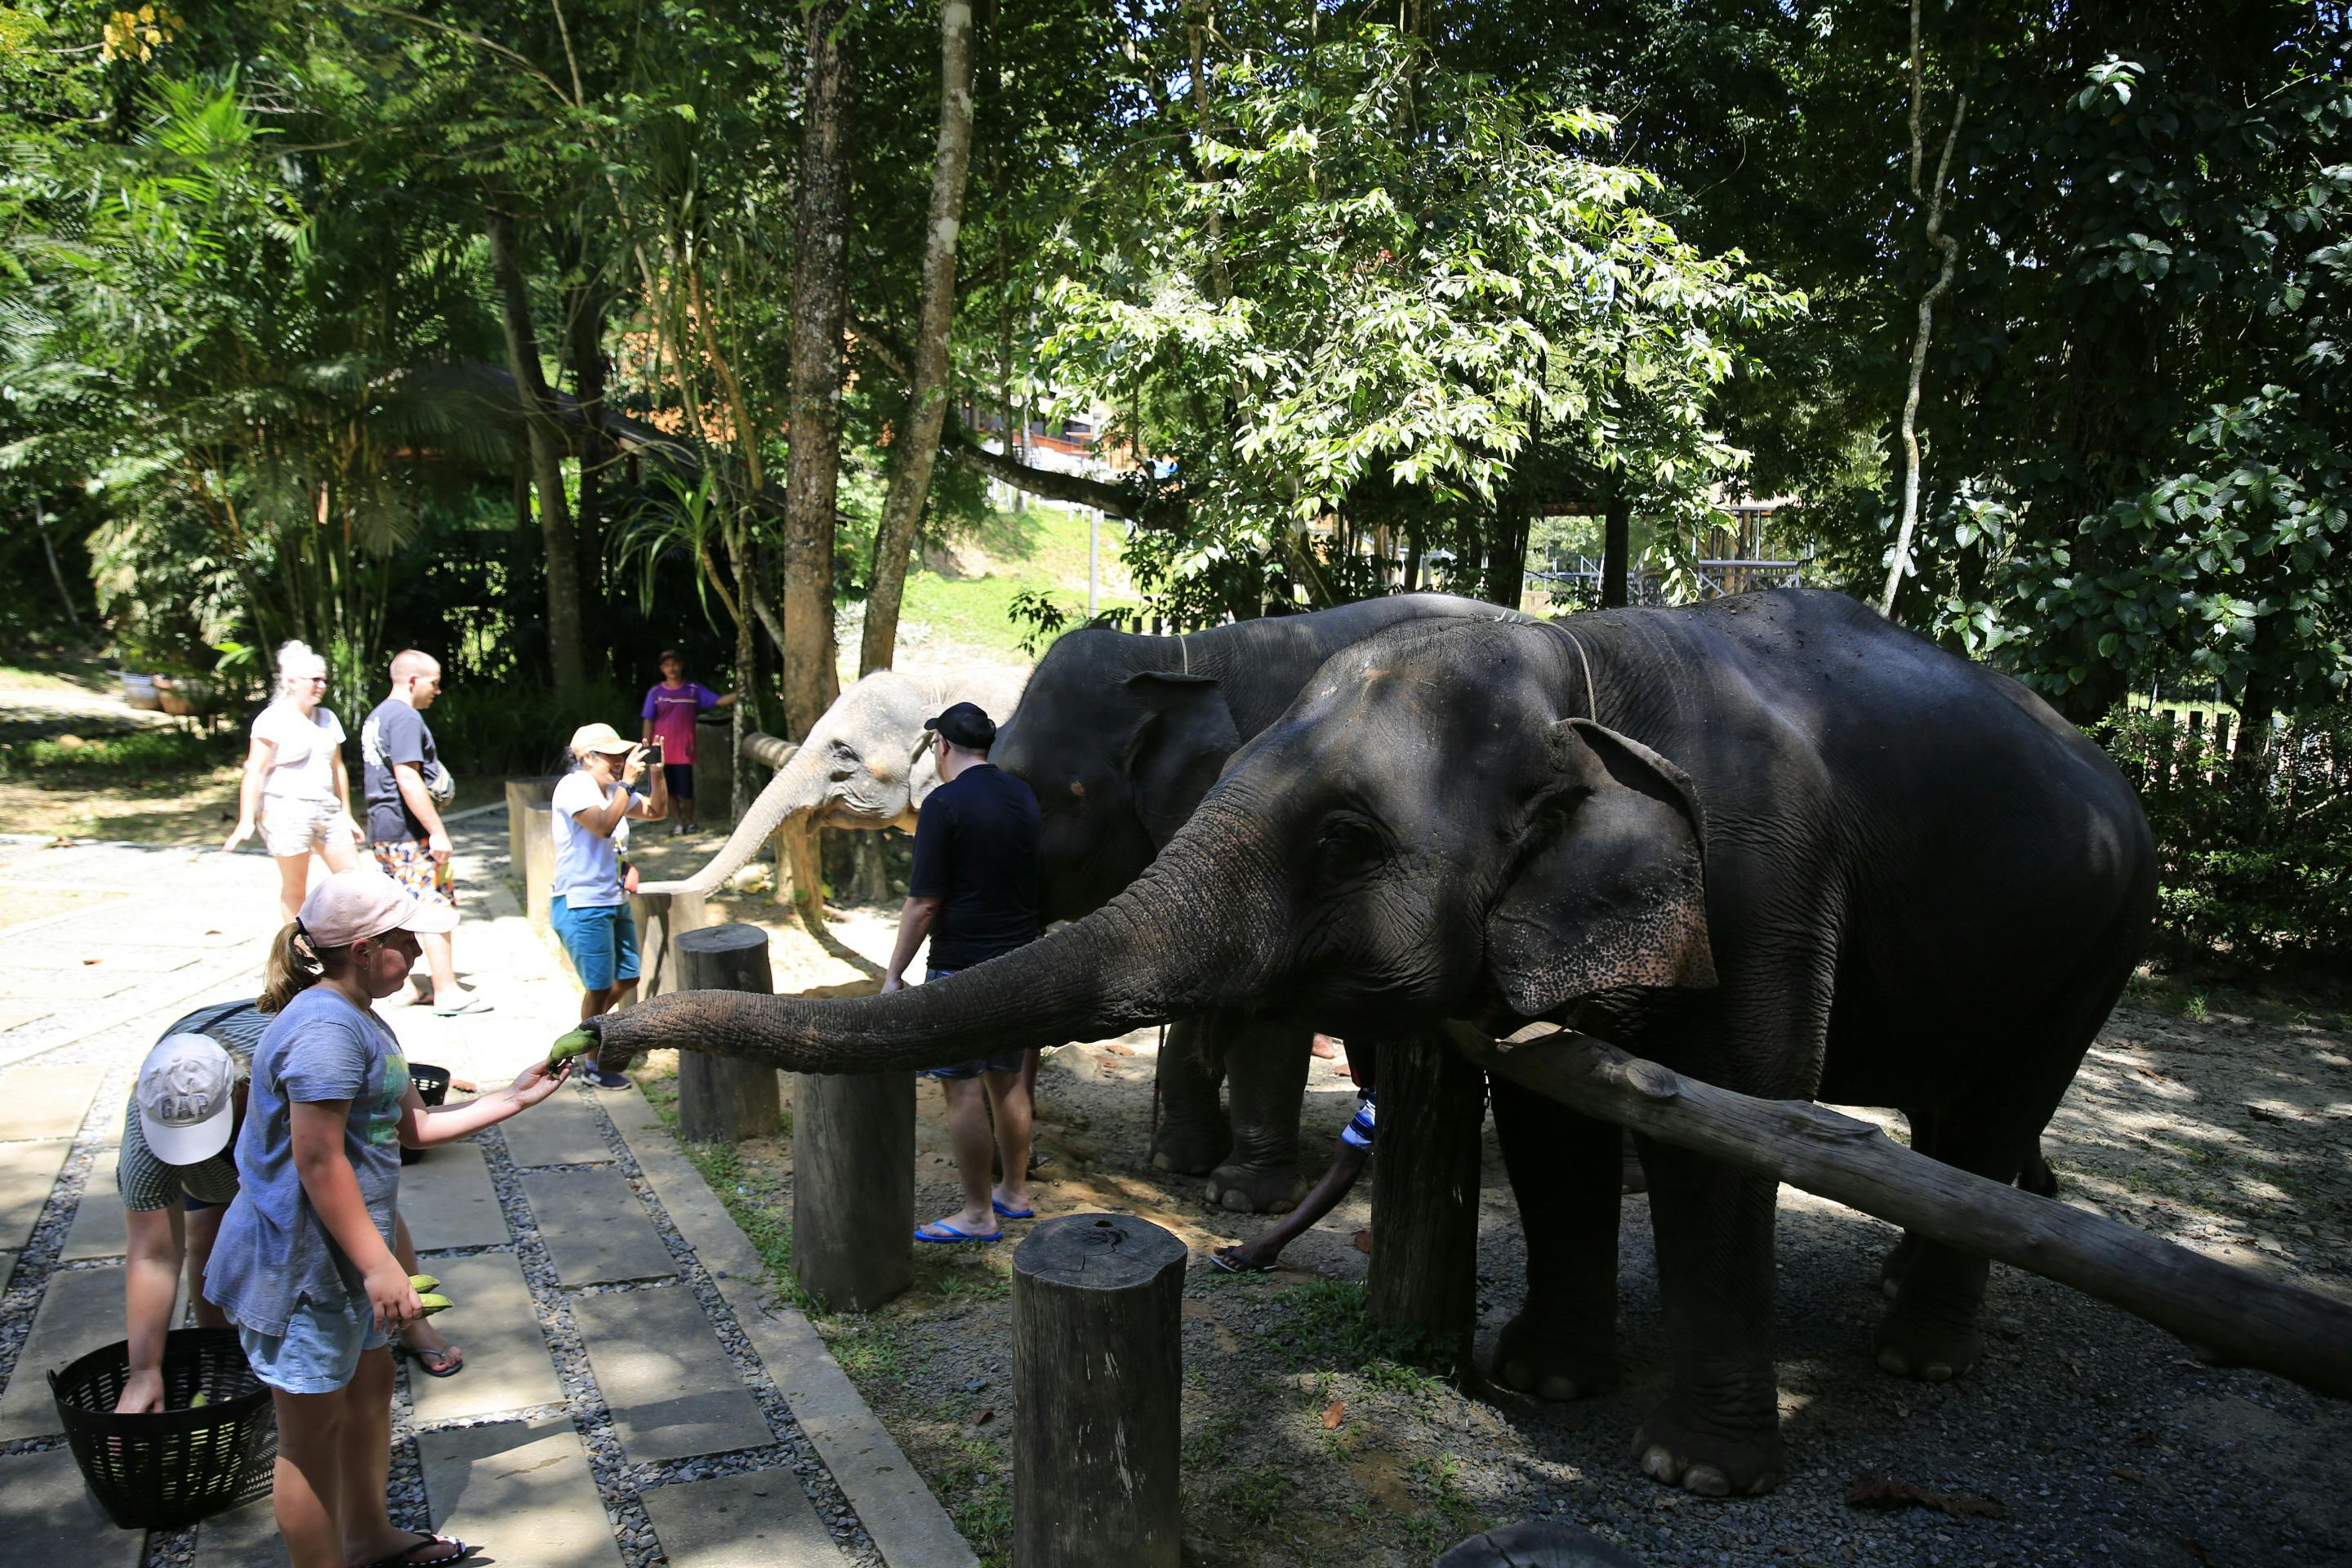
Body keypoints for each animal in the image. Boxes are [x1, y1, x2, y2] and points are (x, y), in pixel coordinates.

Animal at [990, 591, 1513, 1211]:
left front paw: (1244, 1199)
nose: (1030, 1170)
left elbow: (1264, 1011)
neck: (1174, 657)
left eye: (1033, 793)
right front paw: (1178, 1162)